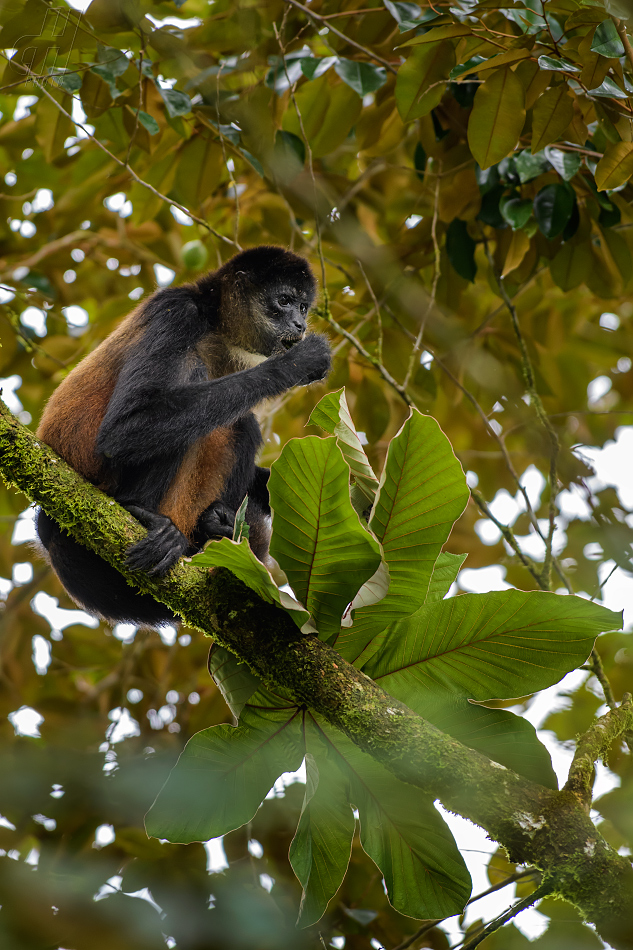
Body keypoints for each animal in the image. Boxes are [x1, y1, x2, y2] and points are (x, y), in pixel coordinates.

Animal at [35, 249, 330, 628]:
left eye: (304, 307)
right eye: (284, 301)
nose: (300, 325)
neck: (214, 326)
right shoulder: (177, 312)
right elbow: (124, 430)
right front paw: (297, 363)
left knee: (240, 423)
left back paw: (215, 530)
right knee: (195, 378)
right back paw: (136, 511)